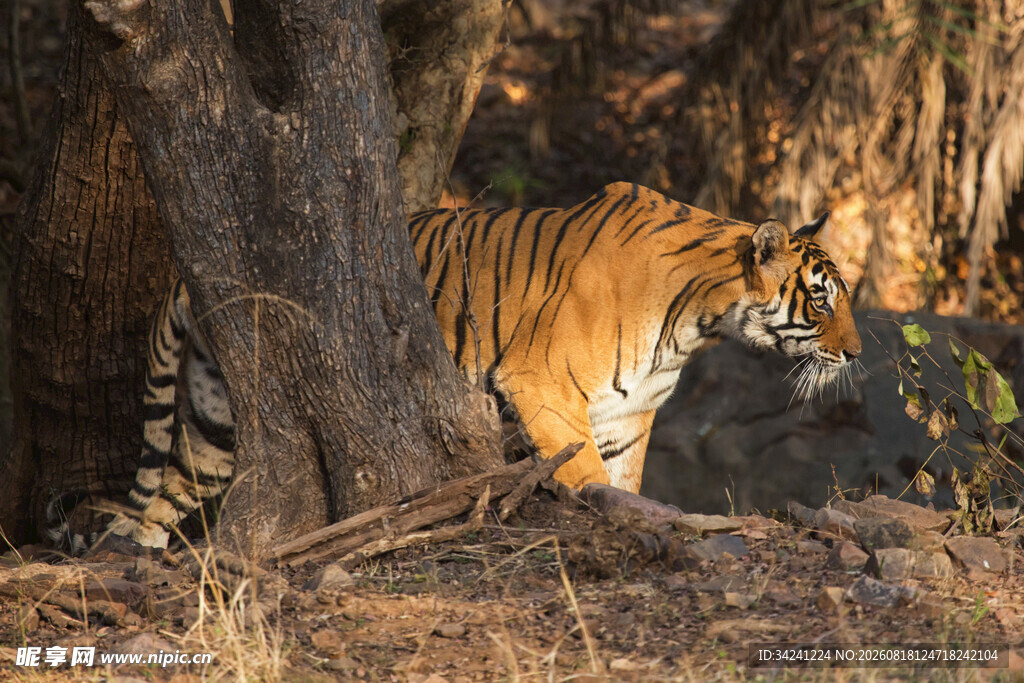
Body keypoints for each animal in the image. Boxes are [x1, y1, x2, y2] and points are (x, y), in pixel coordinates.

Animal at [49, 182, 860, 550]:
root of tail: (189, 277)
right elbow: (584, 474)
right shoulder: (544, 387)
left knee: (163, 496)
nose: (855, 353)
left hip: (217, 421)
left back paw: (141, 560)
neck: (702, 319)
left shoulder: (631, 414)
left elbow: (623, 478)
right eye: (820, 299)